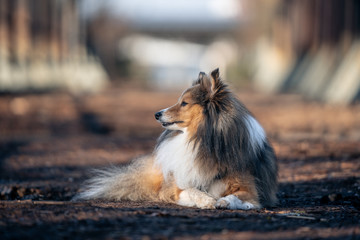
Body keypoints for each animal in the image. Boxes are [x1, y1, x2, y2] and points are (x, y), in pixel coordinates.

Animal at [74, 68, 278, 209]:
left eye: (184, 103)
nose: (156, 114)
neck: (199, 142)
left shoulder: (249, 190)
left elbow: (233, 197)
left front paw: (222, 202)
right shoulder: (178, 187)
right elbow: (192, 190)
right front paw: (207, 200)